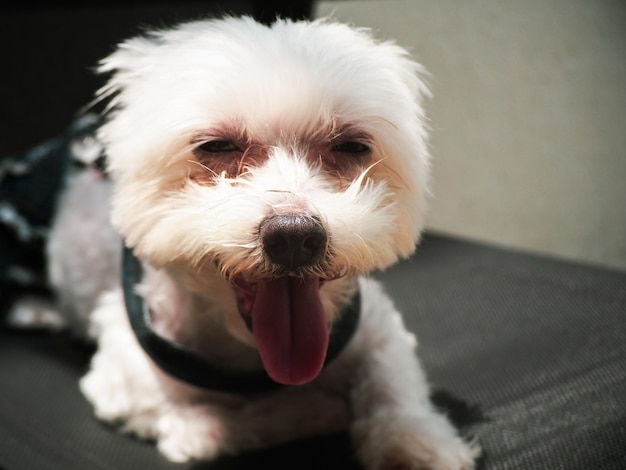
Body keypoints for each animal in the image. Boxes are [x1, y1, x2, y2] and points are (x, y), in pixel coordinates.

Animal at [19, 14, 480, 470]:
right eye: (216, 146)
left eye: (352, 146)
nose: (295, 236)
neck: (252, 354)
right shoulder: (134, 391)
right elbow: (224, 423)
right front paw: (317, 409)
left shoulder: (378, 328)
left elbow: (391, 382)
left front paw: (415, 441)